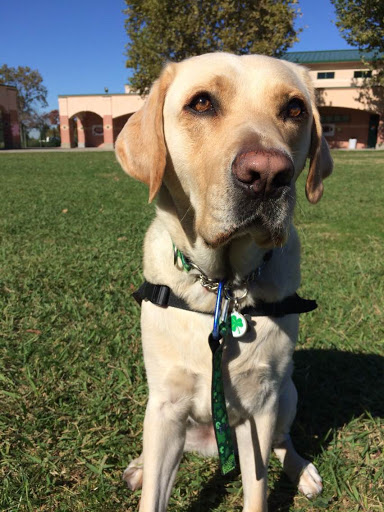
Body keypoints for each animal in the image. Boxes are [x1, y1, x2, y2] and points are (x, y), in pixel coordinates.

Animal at [115, 53, 332, 512]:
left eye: (295, 109)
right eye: (201, 103)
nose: (267, 175)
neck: (222, 288)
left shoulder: (261, 409)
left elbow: (258, 489)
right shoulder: (166, 404)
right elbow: (152, 495)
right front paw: (145, 474)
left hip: (287, 395)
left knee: (284, 441)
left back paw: (302, 470)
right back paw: (140, 465)